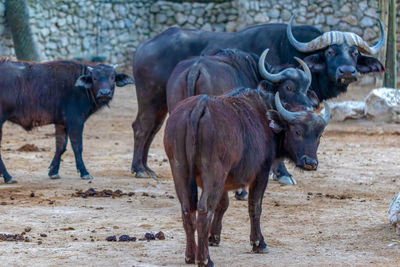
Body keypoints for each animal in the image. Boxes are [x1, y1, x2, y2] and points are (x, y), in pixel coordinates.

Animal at [0, 60, 133, 184]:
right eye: (95, 78)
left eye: (112, 77)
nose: (104, 93)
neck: (82, 89)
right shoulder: (76, 121)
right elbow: (77, 146)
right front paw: (84, 172)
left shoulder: (61, 123)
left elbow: (61, 146)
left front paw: (53, 171)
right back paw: (8, 177)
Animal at [131, 14, 384, 180]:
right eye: (331, 51)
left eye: (354, 53)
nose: (347, 71)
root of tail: (143, 47)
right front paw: (281, 174)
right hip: (150, 100)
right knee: (141, 127)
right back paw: (139, 169)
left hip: (165, 105)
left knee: (153, 129)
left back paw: (145, 167)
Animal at [164, 89, 330, 266]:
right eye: (297, 131)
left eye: (319, 135)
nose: (310, 162)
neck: (265, 119)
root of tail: (199, 106)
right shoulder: (261, 173)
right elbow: (255, 206)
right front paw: (259, 243)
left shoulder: (225, 181)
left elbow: (223, 205)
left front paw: (214, 237)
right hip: (213, 174)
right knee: (204, 209)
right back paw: (204, 259)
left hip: (180, 171)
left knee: (187, 210)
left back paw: (190, 255)